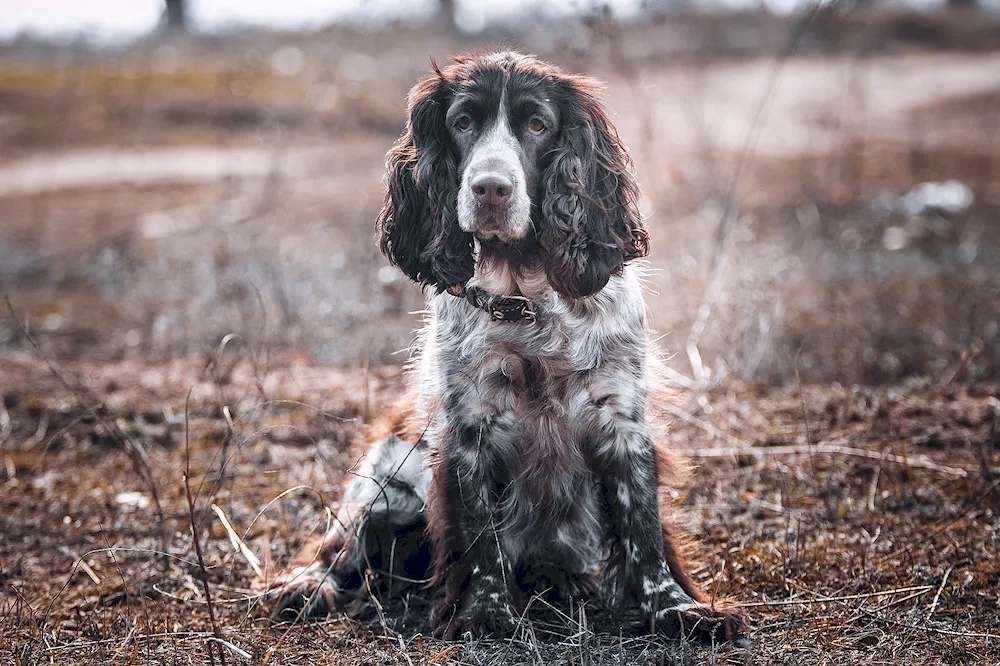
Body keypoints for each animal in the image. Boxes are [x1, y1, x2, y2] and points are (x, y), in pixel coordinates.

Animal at [258, 48, 744, 640]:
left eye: (538, 125)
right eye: (462, 122)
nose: (490, 189)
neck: (527, 303)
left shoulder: (622, 420)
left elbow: (643, 529)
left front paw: (675, 607)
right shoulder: (471, 428)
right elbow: (480, 534)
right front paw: (487, 612)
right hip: (383, 480)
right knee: (340, 543)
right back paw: (305, 585)